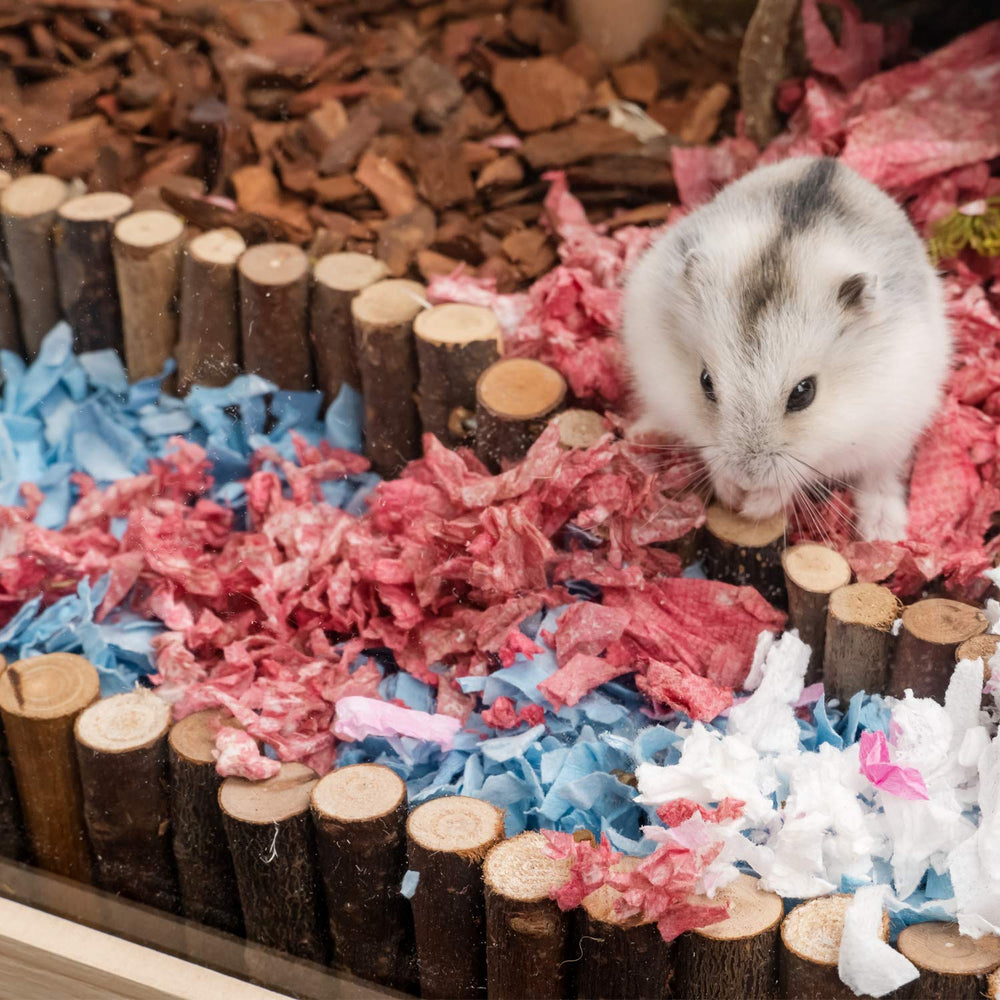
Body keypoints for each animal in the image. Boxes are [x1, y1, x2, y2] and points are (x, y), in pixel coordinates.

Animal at [621, 156, 952, 542]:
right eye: (705, 382)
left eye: (804, 393)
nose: (746, 476)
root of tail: (829, 161)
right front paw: (732, 494)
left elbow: (801, 473)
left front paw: (752, 506)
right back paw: (640, 434)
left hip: (897, 432)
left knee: (880, 475)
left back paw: (883, 533)